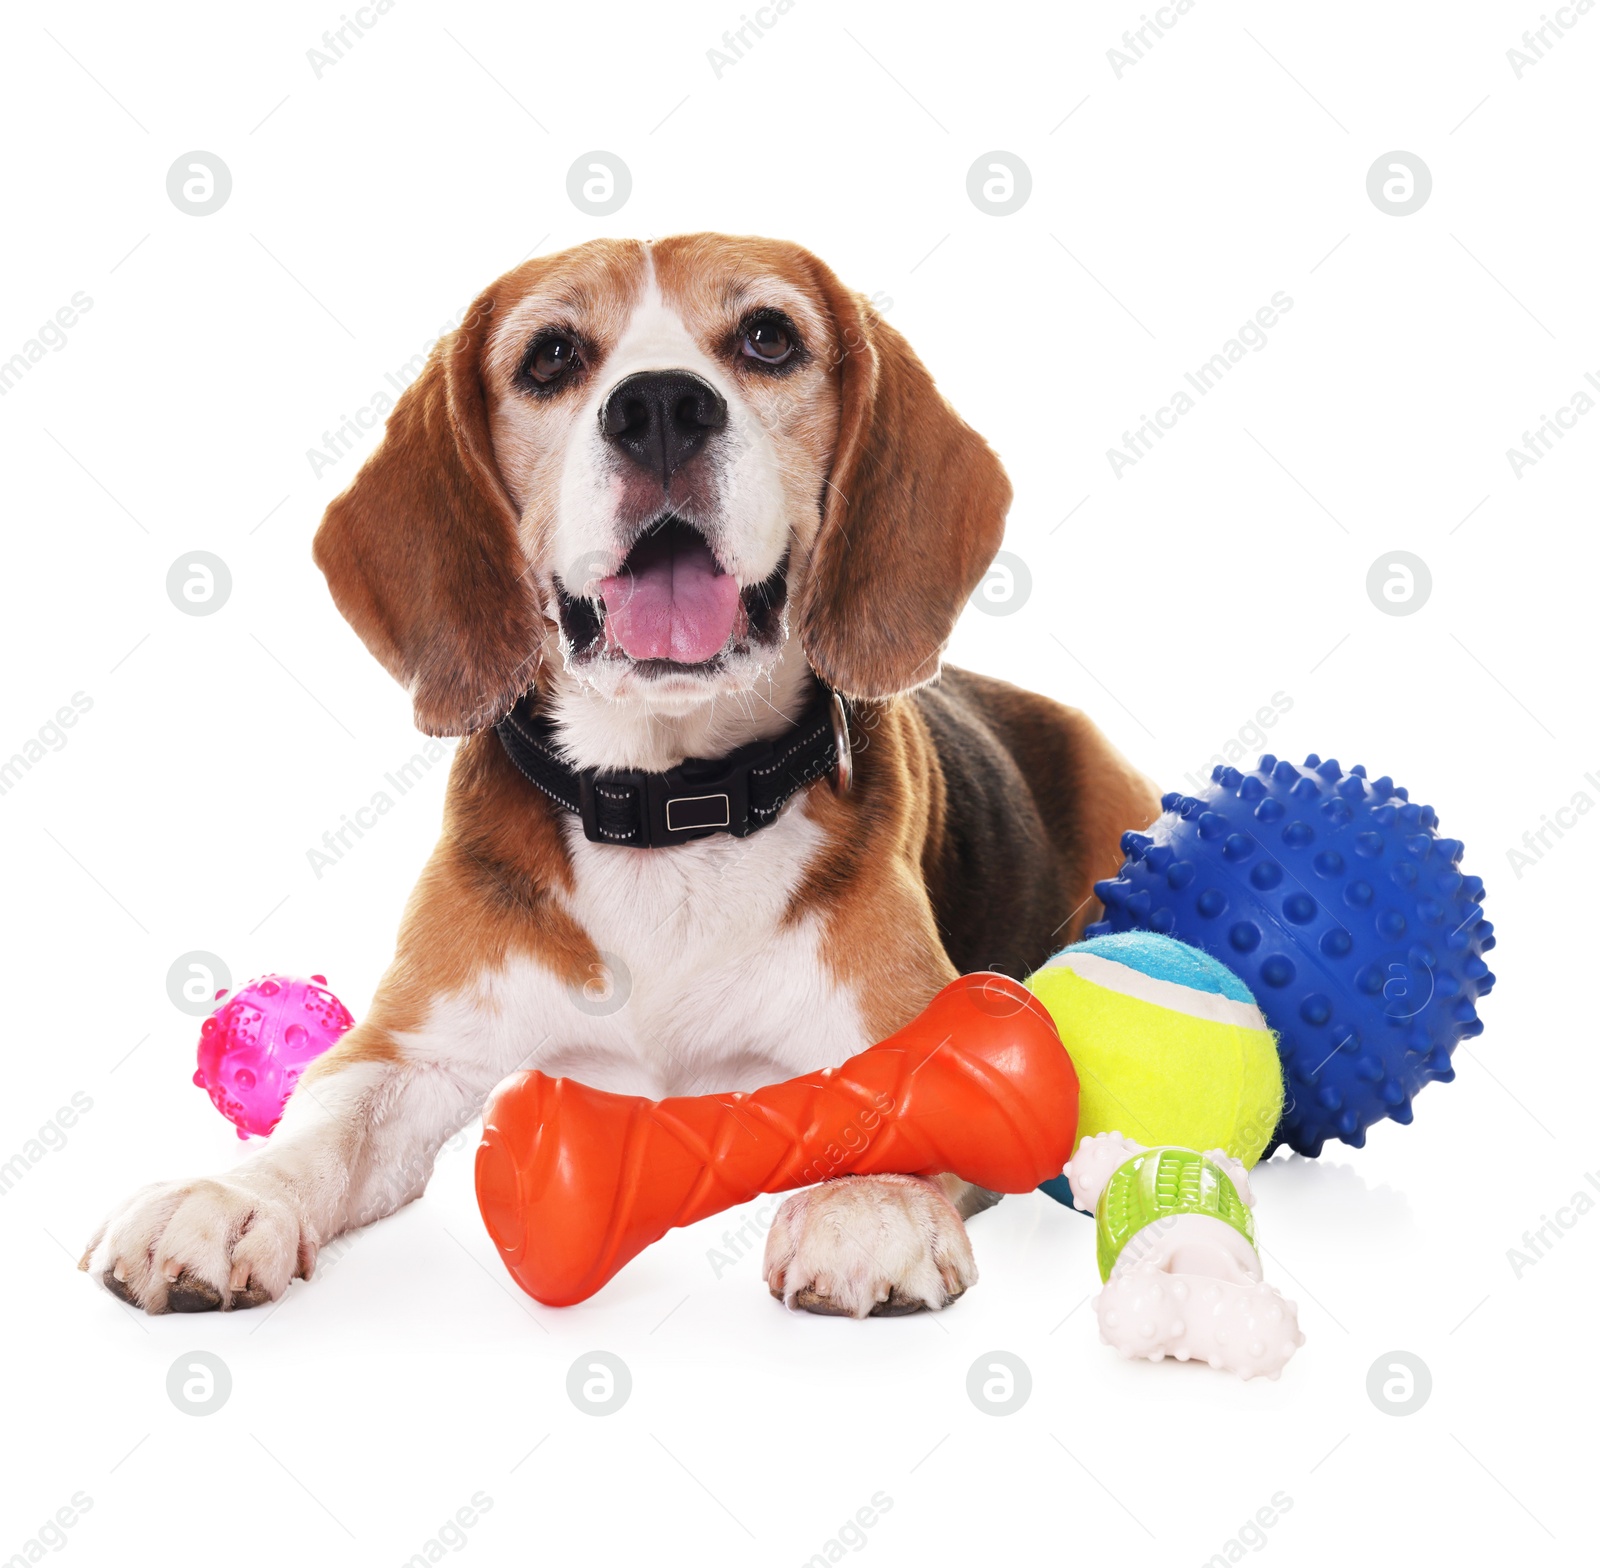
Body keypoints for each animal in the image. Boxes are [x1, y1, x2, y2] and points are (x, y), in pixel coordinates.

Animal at [81, 232, 1158, 1312]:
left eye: (769, 338)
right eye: (551, 355)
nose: (662, 407)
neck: (668, 801)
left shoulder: (902, 1019)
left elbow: (916, 1099)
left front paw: (870, 1203)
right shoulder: (408, 1047)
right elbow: (323, 1123)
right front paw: (228, 1194)